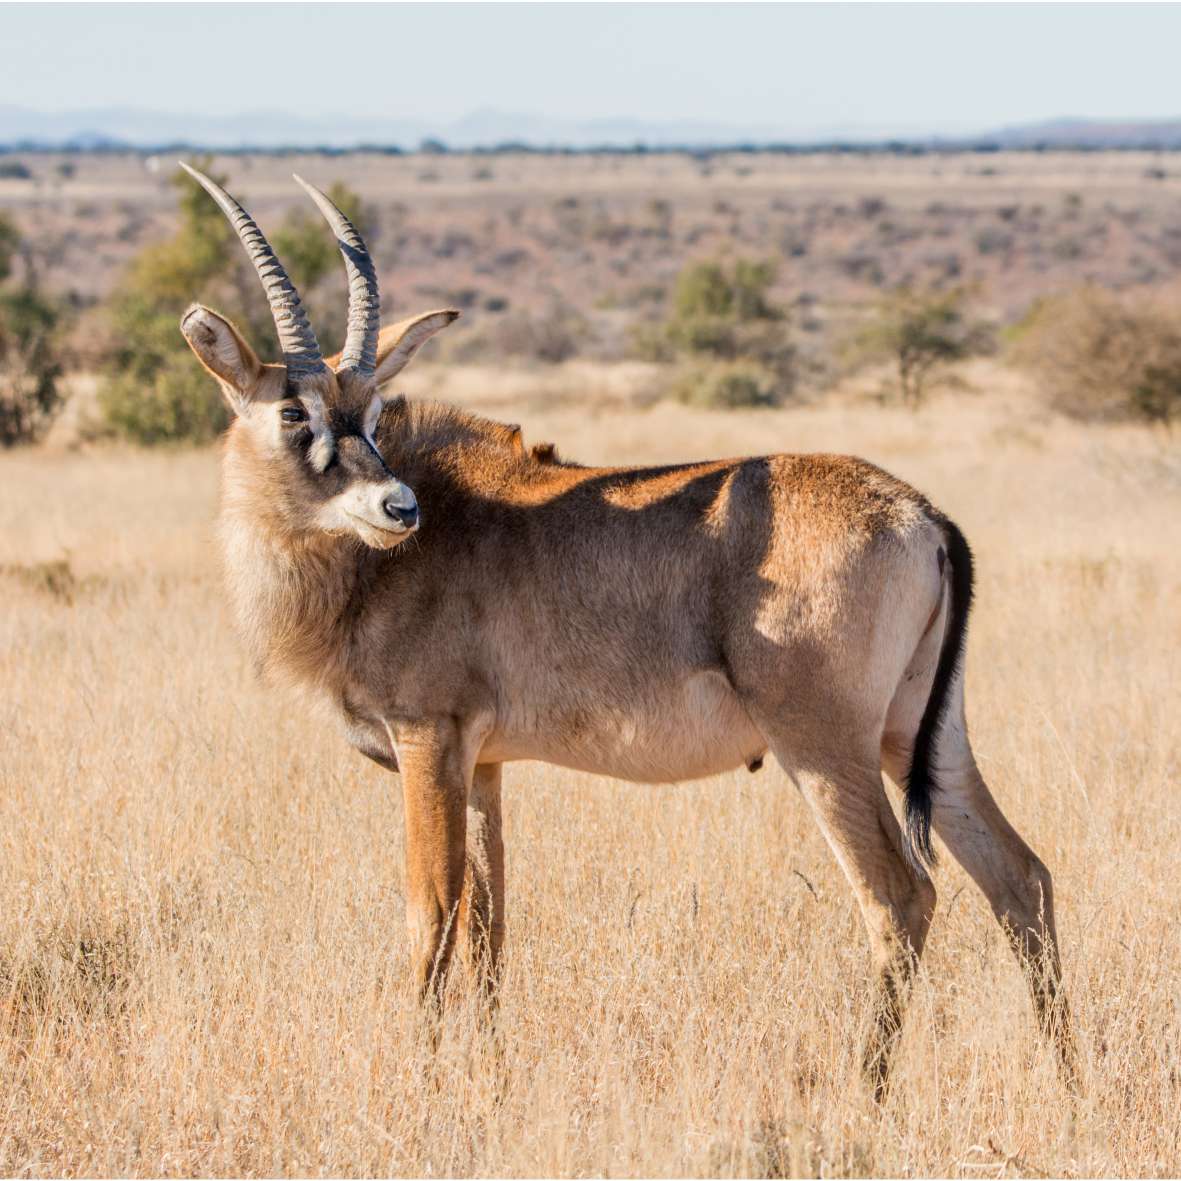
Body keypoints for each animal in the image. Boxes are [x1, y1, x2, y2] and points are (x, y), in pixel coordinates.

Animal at [177, 164, 1075, 1099]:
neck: (376, 564)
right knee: (1020, 877)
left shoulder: (427, 740)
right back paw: (1069, 1081)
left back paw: (864, 1092)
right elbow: (491, 920)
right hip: (920, 738)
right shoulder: (483, 764)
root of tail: (919, 512)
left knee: (899, 897)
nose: (398, 508)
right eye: (295, 414)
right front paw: (487, 1074)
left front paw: (417, 1081)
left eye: (375, 410)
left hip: (825, 749)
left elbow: (433, 911)